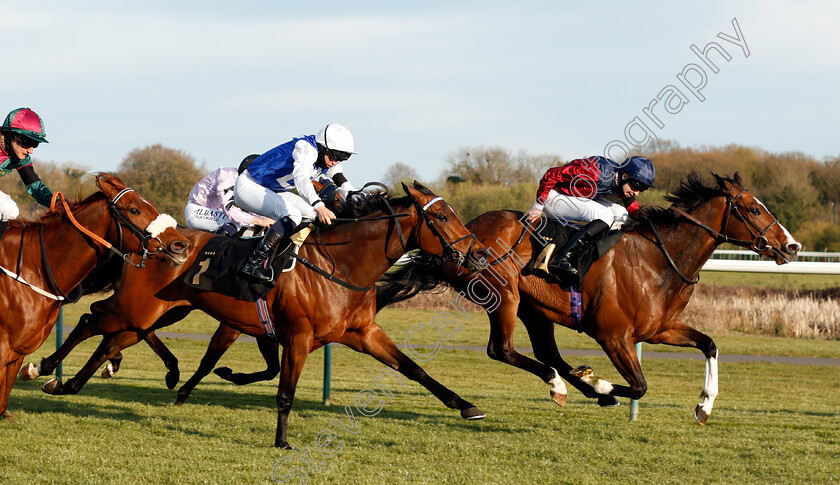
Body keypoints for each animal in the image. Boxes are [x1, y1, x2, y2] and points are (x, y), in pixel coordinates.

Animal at [24, 182, 486, 446]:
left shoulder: (362, 332)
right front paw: (281, 441)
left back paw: (73, 383)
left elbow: (414, 369)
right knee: (91, 320)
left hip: (159, 313)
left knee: (112, 339)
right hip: (136, 308)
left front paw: (465, 406)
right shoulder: (297, 337)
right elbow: (284, 392)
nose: (478, 253)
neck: (340, 265)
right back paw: (45, 368)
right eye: (441, 216)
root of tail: (151, 244)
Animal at [376, 173, 800, 424]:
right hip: (504, 295)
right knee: (503, 350)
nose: (792, 246)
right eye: (753, 209)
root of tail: (464, 234)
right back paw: (569, 387)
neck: (658, 259)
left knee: (547, 353)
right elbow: (640, 386)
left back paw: (575, 386)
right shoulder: (612, 335)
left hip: (534, 308)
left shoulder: (659, 328)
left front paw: (704, 405)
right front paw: (603, 386)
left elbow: (710, 345)